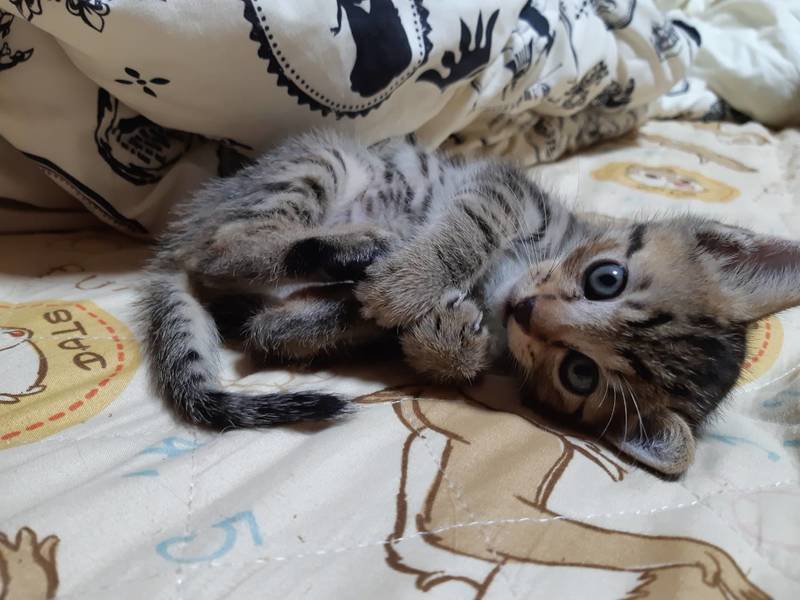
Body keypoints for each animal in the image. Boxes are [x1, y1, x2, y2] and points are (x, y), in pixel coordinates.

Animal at [136, 130, 800, 475]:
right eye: (606, 278)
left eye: (580, 374)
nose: (525, 312)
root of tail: (174, 241)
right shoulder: (501, 189)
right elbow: (468, 226)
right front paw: (409, 283)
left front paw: (444, 339)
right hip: (324, 162)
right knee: (222, 250)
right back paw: (359, 252)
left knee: (264, 324)